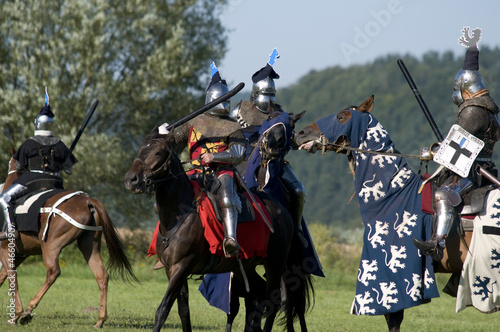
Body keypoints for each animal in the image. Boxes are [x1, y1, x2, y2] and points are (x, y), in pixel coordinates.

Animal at [0, 149, 137, 326]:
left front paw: (17, 314)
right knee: (101, 275)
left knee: (53, 272)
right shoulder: (20, 254)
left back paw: (28, 311)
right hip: (89, 247)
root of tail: (88, 201)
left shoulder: (6, 251)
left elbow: (11, 277)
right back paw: (100, 320)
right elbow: (5, 276)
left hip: (50, 247)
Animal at [124, 126, 312, 332]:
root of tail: (284, 212)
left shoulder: (181, 267)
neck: (179, 217)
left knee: (274, 299)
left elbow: (162, 311)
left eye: (158, 152)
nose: (131, 180)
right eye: (140, 150)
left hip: (275, 264)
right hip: (245, 266)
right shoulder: (172, 270)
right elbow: (184, 311)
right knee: (258, 294)